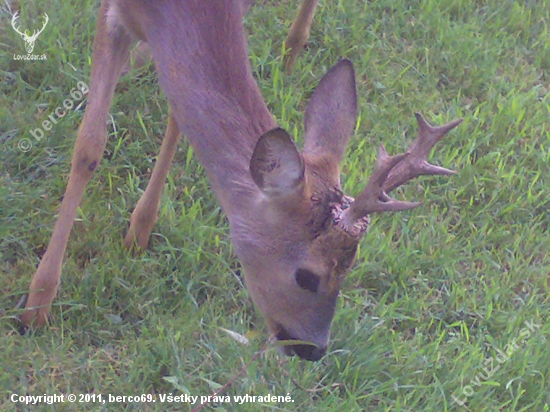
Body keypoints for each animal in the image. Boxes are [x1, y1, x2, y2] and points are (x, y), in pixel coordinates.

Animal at [20, 0, 462, 360]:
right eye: (307, 276)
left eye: (350, 270)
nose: (313, 349)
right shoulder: (112, 16)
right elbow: (89, 146)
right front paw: (36, 305)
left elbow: (177, 114)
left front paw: (139, 229)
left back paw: (291, 50)